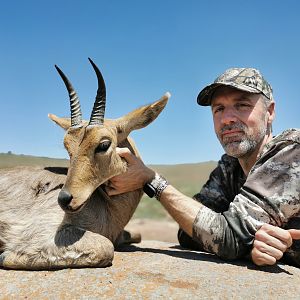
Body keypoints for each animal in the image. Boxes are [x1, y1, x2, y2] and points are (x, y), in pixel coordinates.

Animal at [0, 59, 169, 270]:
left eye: (103, 144)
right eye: (67, 147)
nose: (64, 199)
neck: (109, 208)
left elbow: (135, 235)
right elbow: (106, 247)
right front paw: (6, 254)